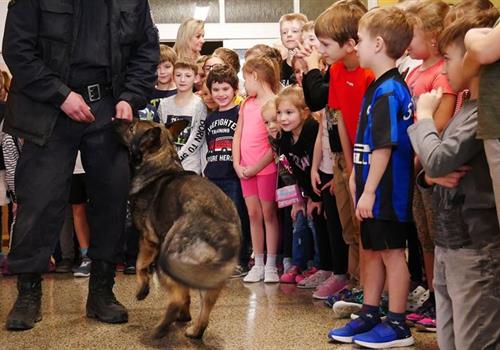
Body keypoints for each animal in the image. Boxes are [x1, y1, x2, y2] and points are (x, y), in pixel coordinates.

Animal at [117, 120, 242, 340]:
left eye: (132, 128)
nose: (114, 121)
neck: (160, 164)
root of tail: (222, 228)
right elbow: (186, 295)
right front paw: (185, 315)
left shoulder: (147, 241)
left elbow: (141, 266)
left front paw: (142, 289)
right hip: (205, 277)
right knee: (203, 308)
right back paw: (193, 330)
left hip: (166, 262)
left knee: (175, 299)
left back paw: (159, 330)